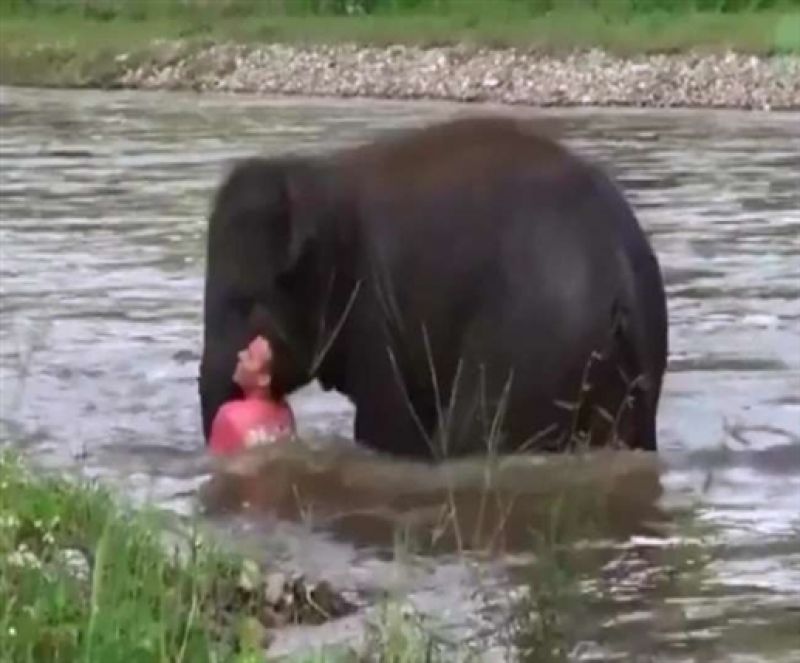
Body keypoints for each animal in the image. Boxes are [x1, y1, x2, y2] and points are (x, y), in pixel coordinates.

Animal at [198, 116, 668, 459]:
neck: (319, 176)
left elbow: (383, 427)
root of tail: (619, 280)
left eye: (243, 304)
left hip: (529, 349)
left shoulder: (373, 313)